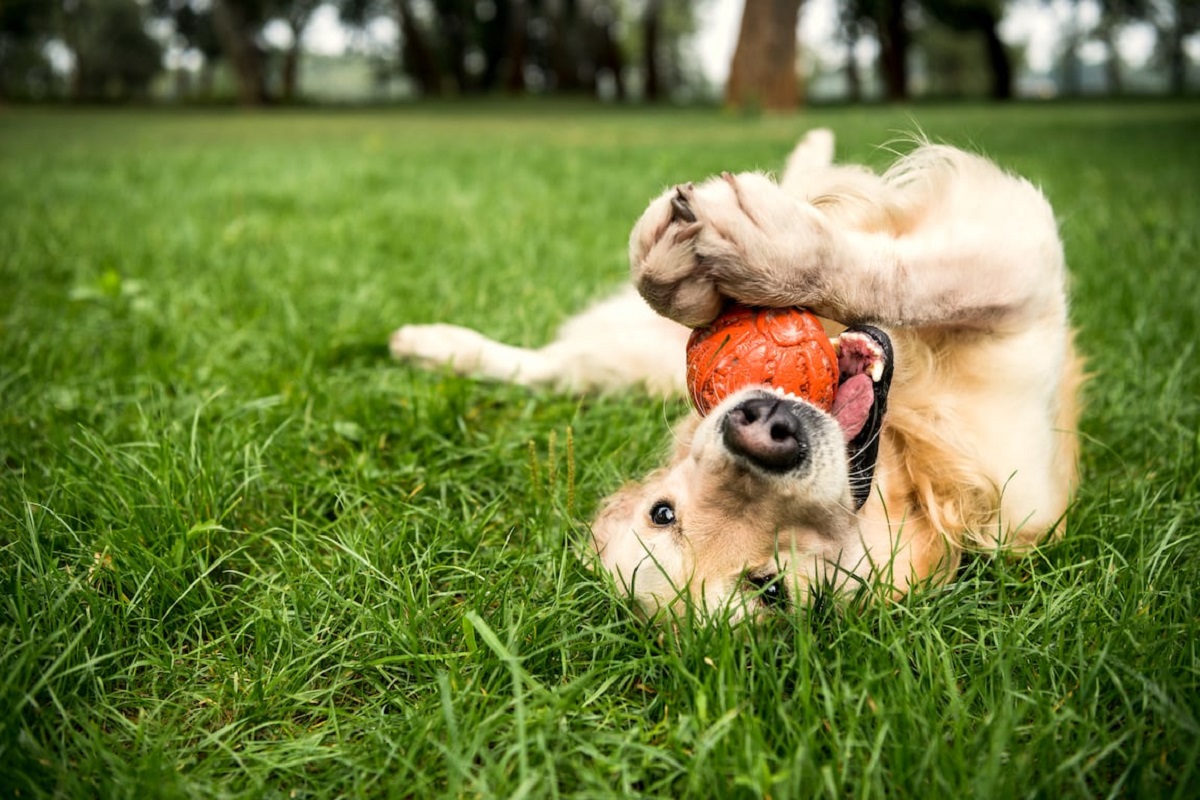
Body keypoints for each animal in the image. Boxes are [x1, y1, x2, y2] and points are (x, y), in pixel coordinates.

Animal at [393, 130, 1089, 618]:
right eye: (666, 512)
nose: (763, 429)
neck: (911, 462)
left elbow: (902, 274)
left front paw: (754, 251)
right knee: (552, 367)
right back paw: (431, 346)